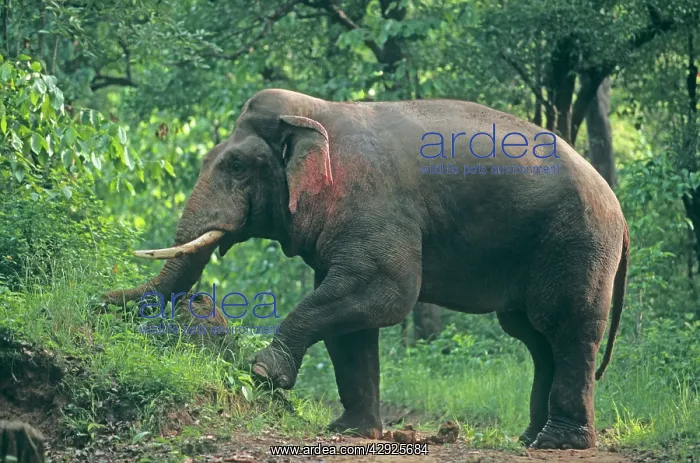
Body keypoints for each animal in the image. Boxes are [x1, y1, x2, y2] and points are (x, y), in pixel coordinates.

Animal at [104, 89, 629, 450]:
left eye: (235, 166)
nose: (99, 301)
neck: (315, 112)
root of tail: (621, 215)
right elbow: (351, 324)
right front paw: (349, 430)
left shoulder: (375, 204)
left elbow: (386, 293)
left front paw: (262, 371)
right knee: (534, 336)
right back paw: (529, 438)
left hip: (576, 242)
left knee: (565, 326)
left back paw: (559, 442)